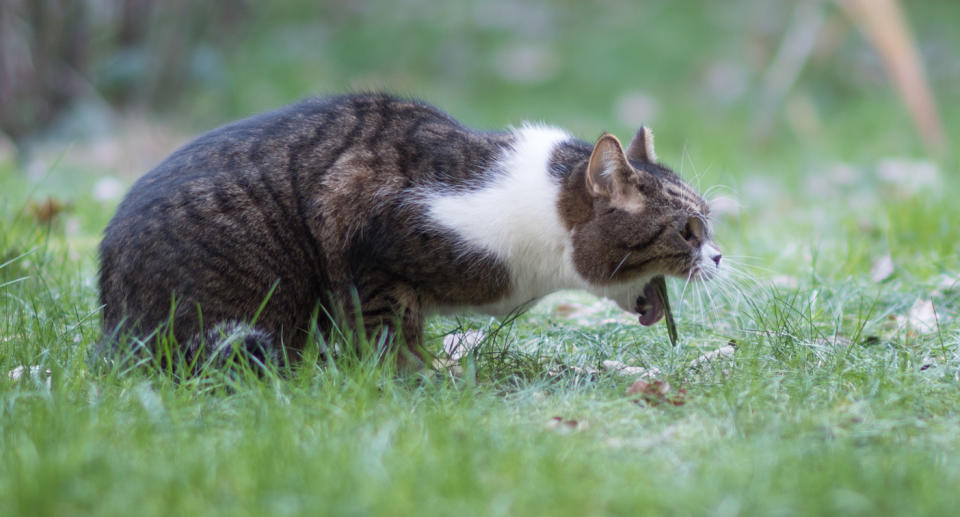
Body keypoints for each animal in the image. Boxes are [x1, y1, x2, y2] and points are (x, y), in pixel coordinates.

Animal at [97, 91, 724, 366]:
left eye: (708, 225)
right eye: (688, 231)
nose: (718, 256)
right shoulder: (368, 237)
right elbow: (390, 331)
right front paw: (416, 381)